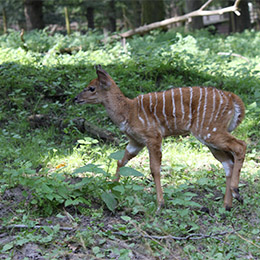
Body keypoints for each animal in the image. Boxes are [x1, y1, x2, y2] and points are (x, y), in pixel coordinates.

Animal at [74, 65, 246, 211]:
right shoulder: (136, 142)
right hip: (209, 139)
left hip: (209, 131)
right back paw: (227, 205)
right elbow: (121, 162)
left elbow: (154, 169)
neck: (127, 112)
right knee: (228, 162)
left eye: (91, 88)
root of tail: (233, 98)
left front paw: (160, 204)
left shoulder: (153, 137)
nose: (75, 98)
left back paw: (237, 192)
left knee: (240, 145)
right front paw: (110, 191)